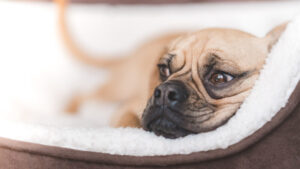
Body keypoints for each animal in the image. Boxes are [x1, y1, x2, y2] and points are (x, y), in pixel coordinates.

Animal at [55, 0, 288, 139]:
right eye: (164, 70)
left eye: (220, 78)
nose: (165, 91)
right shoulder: (127, 109)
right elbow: (128, 125)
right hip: (116, 89)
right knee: (82, 96)